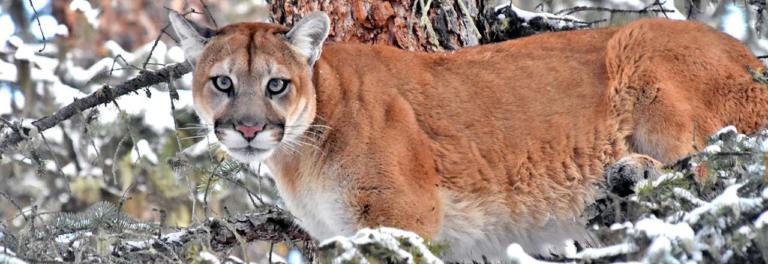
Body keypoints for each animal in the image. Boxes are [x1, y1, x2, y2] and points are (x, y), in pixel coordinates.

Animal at [170, 11, 768, 260]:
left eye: (276, 84)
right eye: (222, 82)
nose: (249, 128)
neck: (300, 153)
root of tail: (751, 59)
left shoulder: (401, 217)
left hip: (639, 43)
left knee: (717, 167)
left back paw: (634, 171)